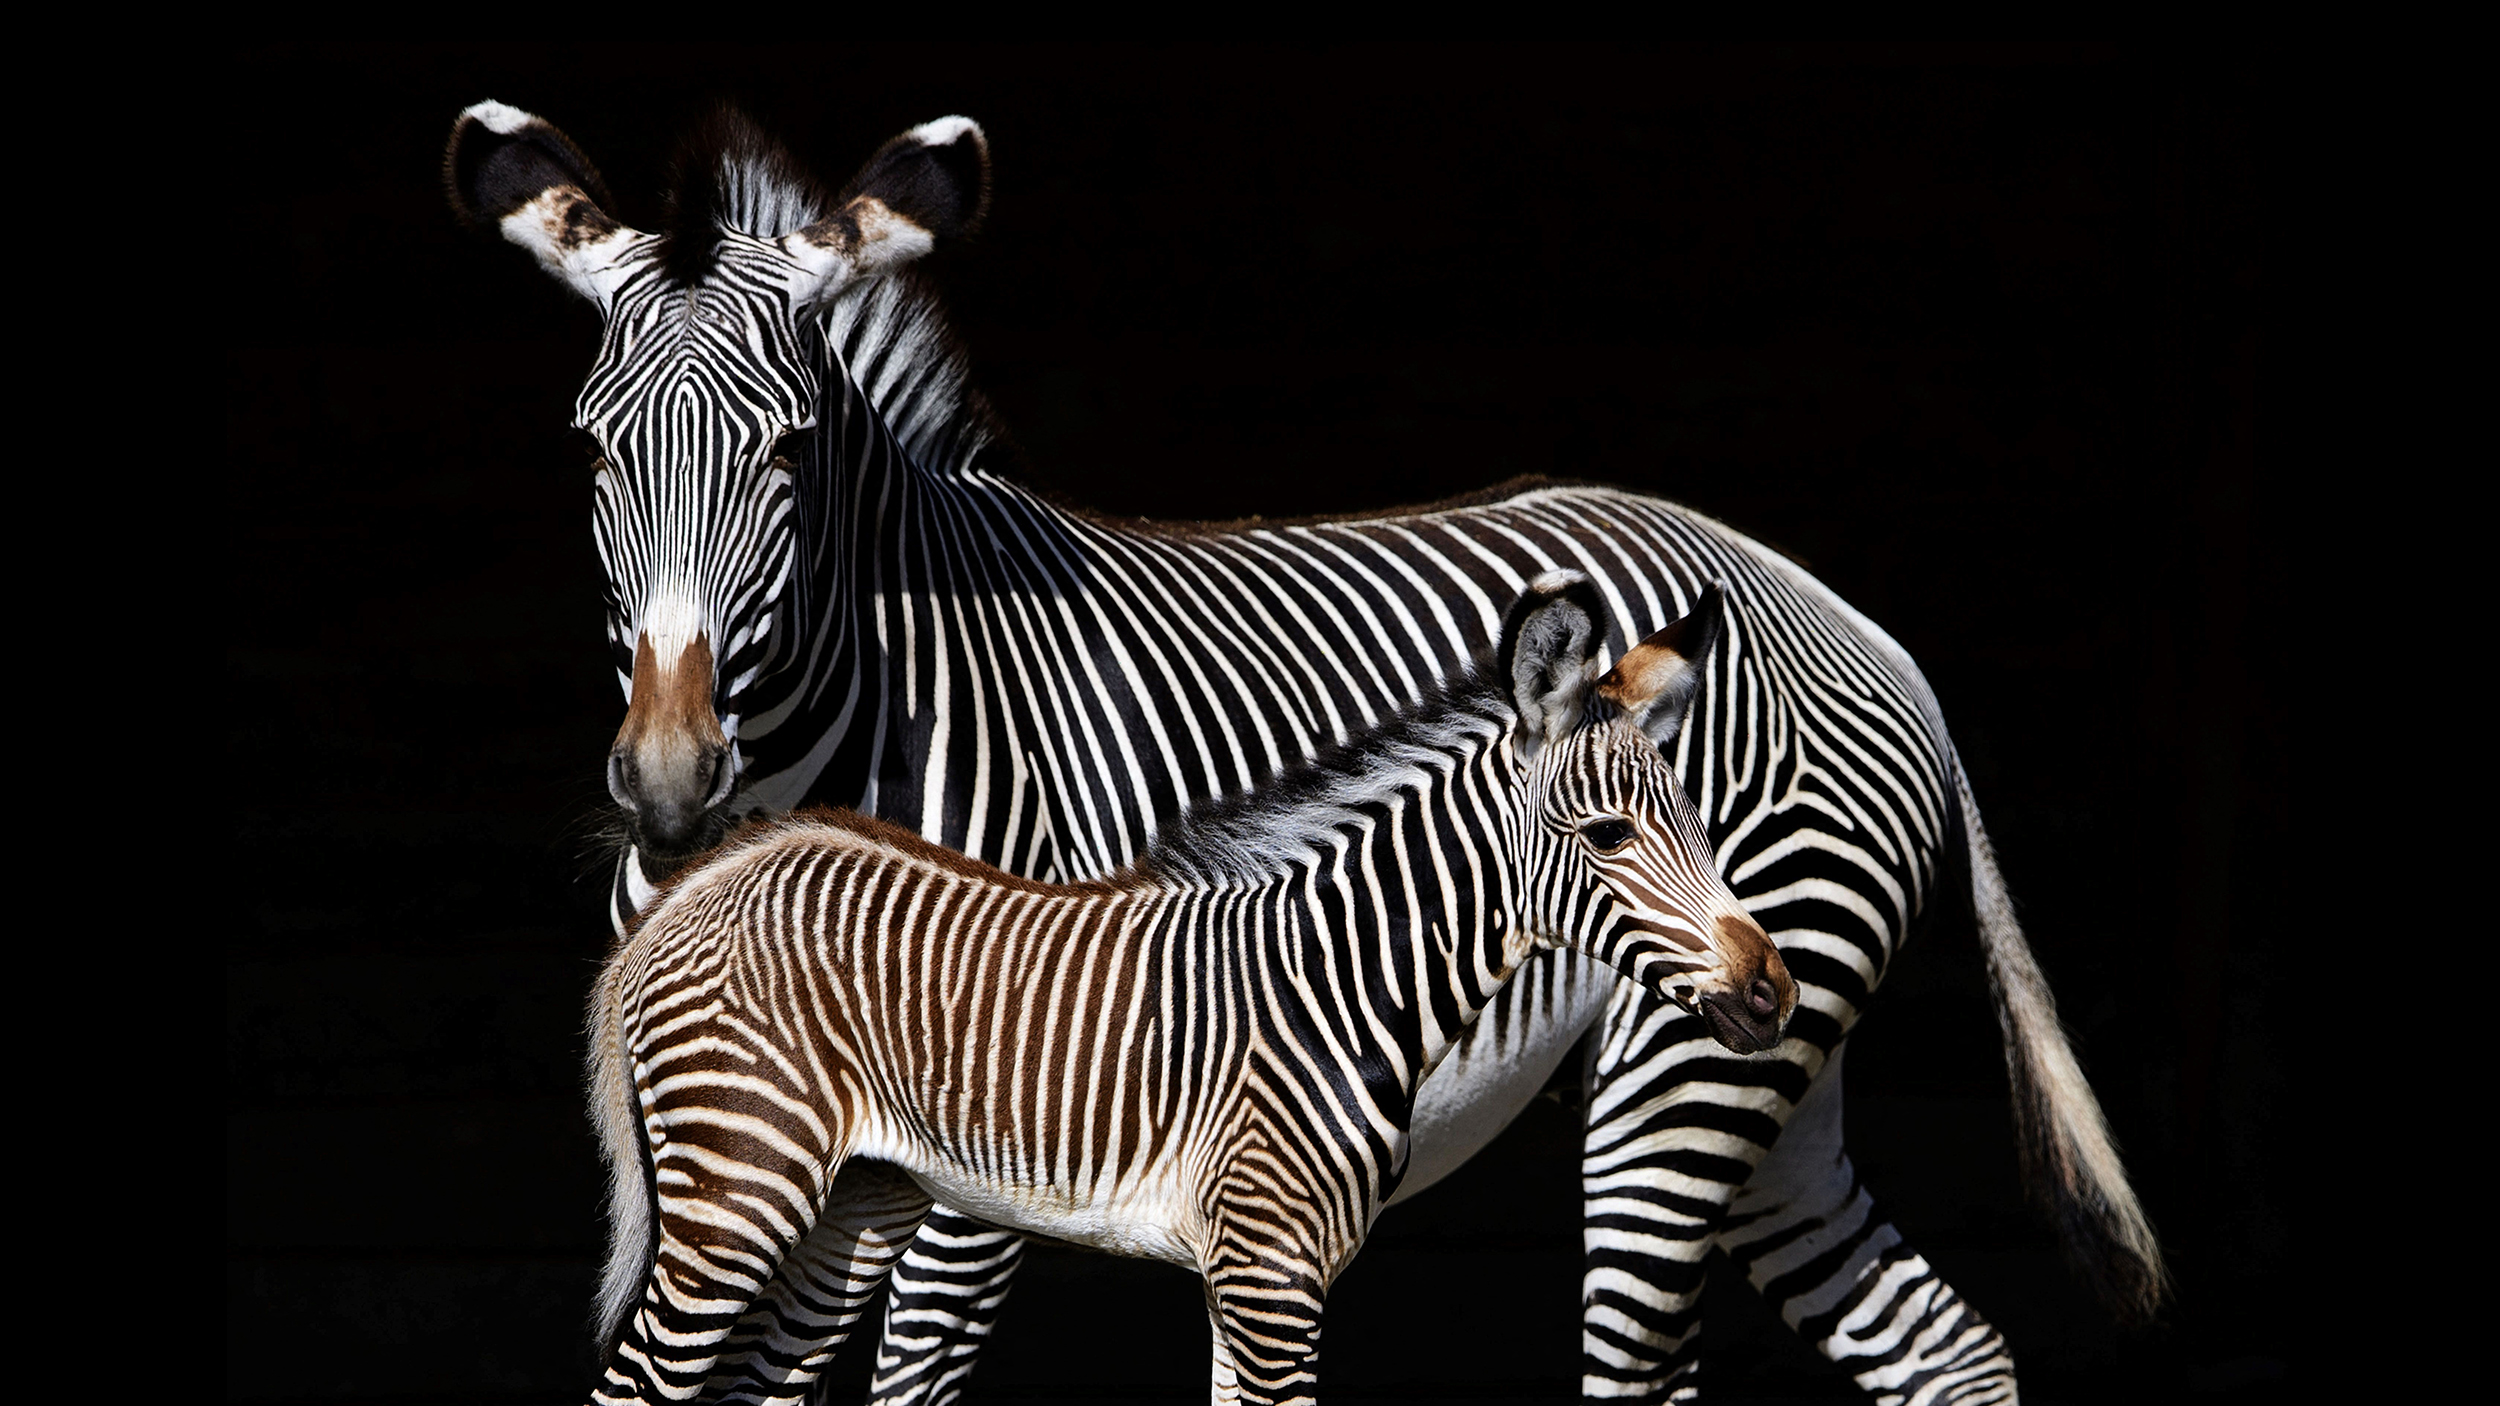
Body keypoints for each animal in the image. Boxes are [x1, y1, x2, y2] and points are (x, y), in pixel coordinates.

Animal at [590, 575, 1798, 1406]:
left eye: (1702, 827)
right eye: (1608, 836)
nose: (1773, 994)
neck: (1344, 983)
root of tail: (703, 882)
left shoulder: (1251, 1272)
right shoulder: (1271, 1267)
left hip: (853, 1200)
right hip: (736, 1188)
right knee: (636, 1385)